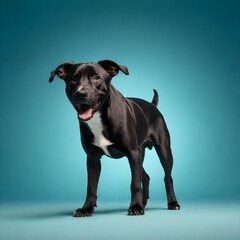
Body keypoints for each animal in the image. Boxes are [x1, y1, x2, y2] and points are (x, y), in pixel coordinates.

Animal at [48, 59, 180, 216]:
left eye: (96, 77)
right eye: (73, 79)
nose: (80, 94)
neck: (99, 117)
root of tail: (152, 105)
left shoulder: (132, 153)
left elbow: (135, 183)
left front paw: (135, 207)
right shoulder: (92, 158)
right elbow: (91, 187)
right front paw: (86, 208)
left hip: (163, 151)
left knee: (167, 178)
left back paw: (172, 203)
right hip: (140, 154)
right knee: (146, 176)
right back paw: (144, 202)